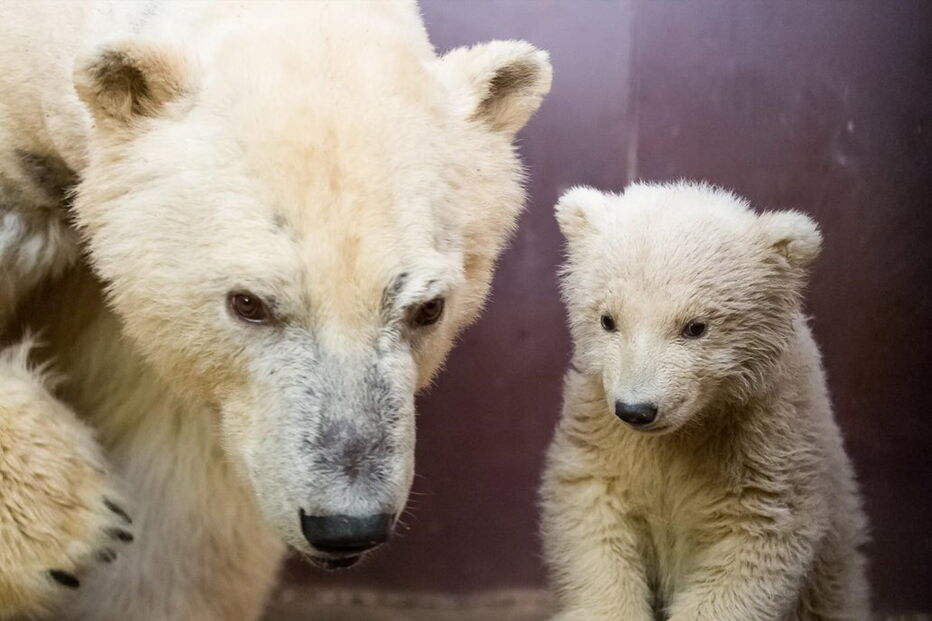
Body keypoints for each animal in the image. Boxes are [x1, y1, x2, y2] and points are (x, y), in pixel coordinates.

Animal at [540, 182, 869, 621]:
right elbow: (593, 517)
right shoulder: (602, 432)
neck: (690, 429)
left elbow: (752, 548)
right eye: (607, 319)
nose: (636, 410)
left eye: (696, 327)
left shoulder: (768, 448)